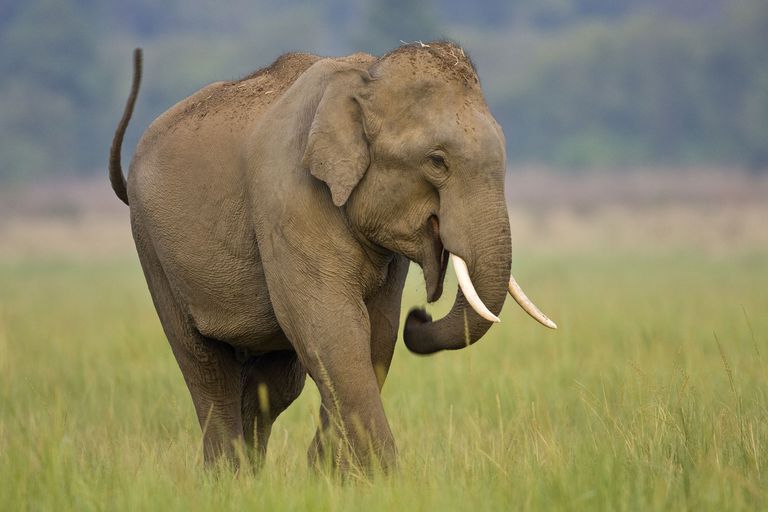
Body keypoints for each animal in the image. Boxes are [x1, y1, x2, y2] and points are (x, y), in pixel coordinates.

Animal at [108, 41, 556, 472]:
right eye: (437, 161)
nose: (420, 316)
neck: (365, 76)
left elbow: (375, 336)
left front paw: (329, 474)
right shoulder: (289, 198)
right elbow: (334, 330)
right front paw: (382, 478)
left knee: (275, 382)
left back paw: (251, 479)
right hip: (152, 247)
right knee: (205, 367)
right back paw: (227, 479)